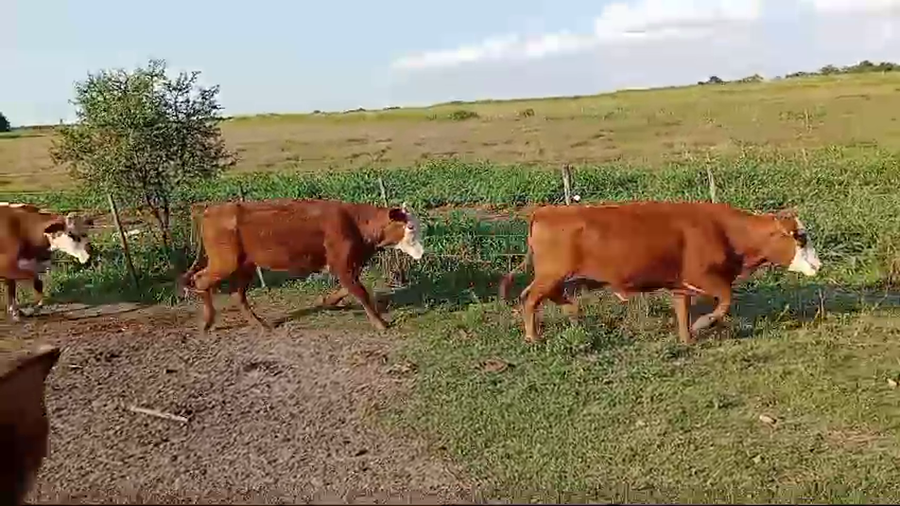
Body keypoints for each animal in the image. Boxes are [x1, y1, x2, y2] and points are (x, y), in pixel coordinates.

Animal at [179, 198, 425, 335]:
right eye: (410, 227)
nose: (422, 253)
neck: (356, 223)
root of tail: (210, 209)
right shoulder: (342, 265)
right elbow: (361, 292)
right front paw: (380, 323)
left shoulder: (348, 265)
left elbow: (348, 289)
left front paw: (326, 301)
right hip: (225, 262)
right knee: (201, 280)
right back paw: (207, 323)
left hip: (244, 264)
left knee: (237, 294)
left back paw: (259, 324)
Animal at [498, 201, 822, 344]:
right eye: (800, 237)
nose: (818, 265)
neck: (725, 230)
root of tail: (544, 210)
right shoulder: (706, 278)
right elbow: (726, 301)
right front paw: (703, 324)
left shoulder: (682, 284)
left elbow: (682, 311)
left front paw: (687, 338)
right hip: (551, 275)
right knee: (530, 299)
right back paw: (534, 337)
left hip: (555, 276)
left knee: (549, 296)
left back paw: (573, 313)